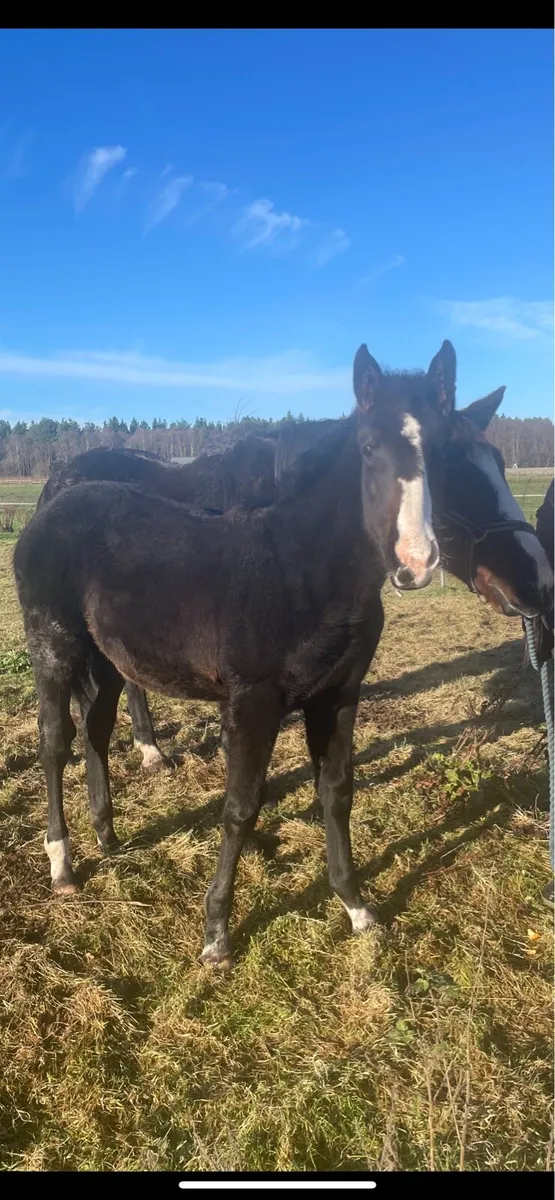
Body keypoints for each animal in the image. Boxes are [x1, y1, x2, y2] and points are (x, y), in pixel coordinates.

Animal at [15, 346, 443, 968]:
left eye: (442, 444)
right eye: (367, 448)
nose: (415, 560)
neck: (300, 569)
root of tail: (48, 506)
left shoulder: (338, 696)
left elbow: (336, 792)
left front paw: (357, 908)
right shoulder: (251, 703)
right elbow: (241, 806)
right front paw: (216, 934)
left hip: (110, 659)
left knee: (95, 727)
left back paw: (109, 837)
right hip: (54, 645)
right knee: (54, 742)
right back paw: (63, 863)